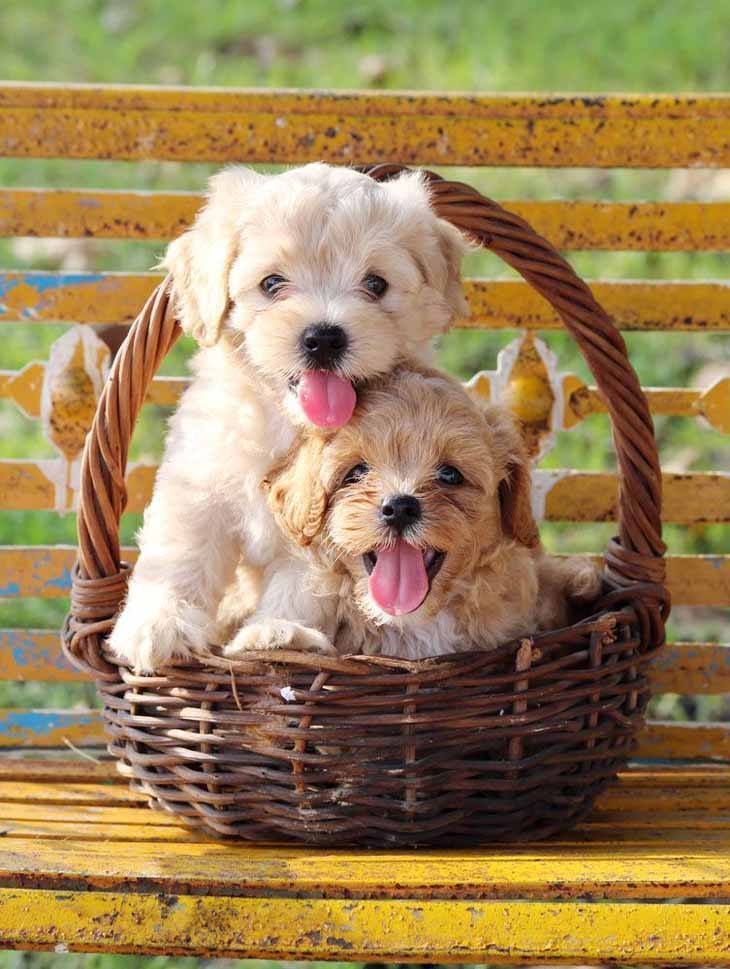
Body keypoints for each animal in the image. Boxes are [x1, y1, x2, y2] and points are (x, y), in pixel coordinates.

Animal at [108, 163, 466, 668]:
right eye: (272, 283)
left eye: (376, 284)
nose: (324, 338)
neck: (286, 422)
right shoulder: (197, 483)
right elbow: (179, 555)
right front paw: (158, 624)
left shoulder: (319, 523)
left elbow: (303, 584)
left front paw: (277, 634)